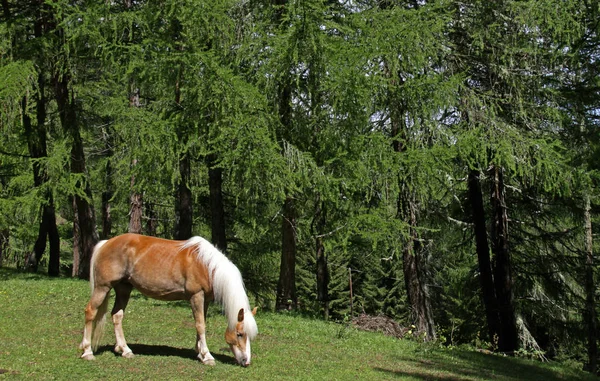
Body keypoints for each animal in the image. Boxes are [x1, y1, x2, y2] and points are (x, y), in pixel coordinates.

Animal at [78, 232, 256, 366]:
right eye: (240, 334)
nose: (246, 361)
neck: (206, 264)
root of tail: (106, 243)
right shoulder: (196, 296)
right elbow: (201, 325)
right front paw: (207, 356)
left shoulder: (205, 299)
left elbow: (201, 323)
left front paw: (199, 353)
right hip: (103, 287)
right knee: (90, 312)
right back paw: (87, 351)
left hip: (123, 289)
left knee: (117, 315)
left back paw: (125, 350)